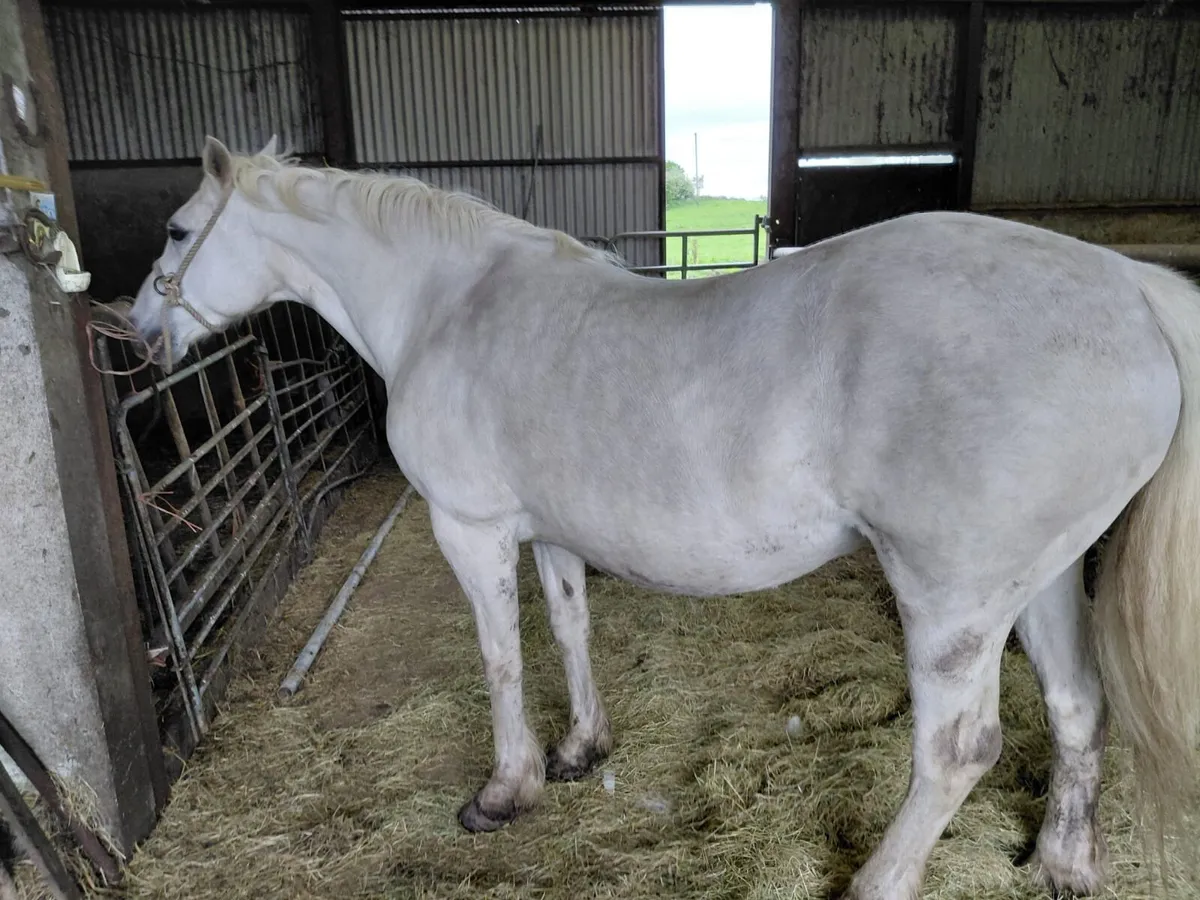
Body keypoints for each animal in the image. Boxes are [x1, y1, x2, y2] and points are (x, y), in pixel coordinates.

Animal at [125, 136, 1200, 899]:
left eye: (175, 232)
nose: (135, 336)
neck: (447, 304)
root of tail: (1129, 287)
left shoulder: (471, 528)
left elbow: (500, 658)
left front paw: (504, 791)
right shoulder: (551, 533)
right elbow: (569, 630)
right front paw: (578, 752)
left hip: (953, 601)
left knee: (956, 751)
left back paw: (878, 881)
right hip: (1044, 579)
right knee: (1076, 706)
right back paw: (1062, 866)